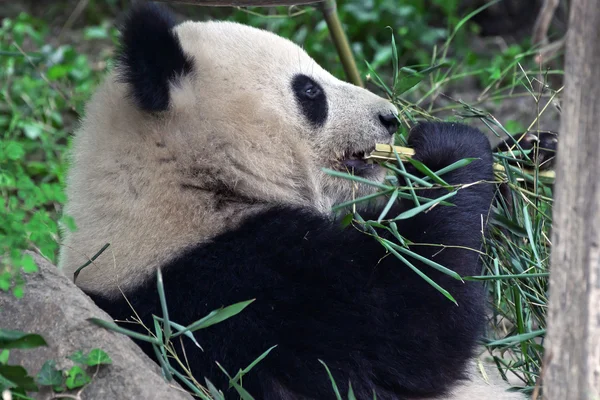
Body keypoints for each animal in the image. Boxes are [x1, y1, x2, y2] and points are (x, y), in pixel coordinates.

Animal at [61, 3, 528, 400]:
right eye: (309, 91)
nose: (390, 118)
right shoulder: (230, 293)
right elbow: (417, 320)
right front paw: (451, 149)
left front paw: (526, 156)